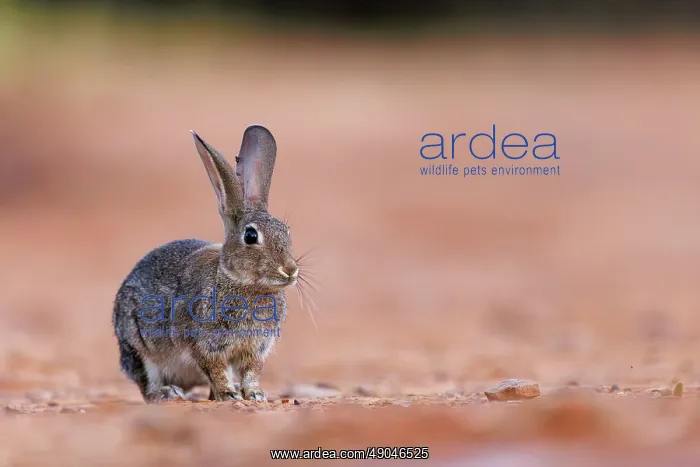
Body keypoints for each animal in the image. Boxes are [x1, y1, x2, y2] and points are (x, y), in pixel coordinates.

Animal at [112, 125, 298, 403]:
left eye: (287, 231)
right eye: (250, 236)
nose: (290, 270)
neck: (238, 282)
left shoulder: (255, 349)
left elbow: (251, 372)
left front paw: (255, 394)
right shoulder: (204, 344)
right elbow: (216, 369)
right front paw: (229, 395)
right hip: (139, 348)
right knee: (147, 386)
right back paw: (168, 392)